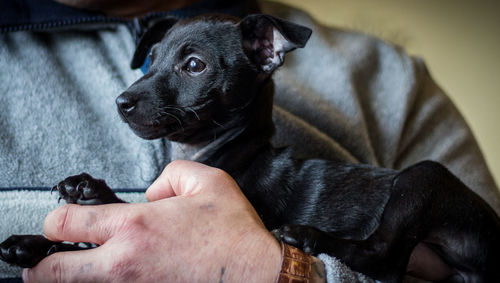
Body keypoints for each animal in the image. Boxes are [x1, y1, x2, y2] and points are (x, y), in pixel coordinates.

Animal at [0, 14, 500, 282]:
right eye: (151, 58)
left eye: (194, 66)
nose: (121, 102)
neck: (209, 154)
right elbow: (100, 230)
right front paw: (38, 239)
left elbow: (123, 218)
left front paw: (84, 200)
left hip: (424, 177)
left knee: (385, 257)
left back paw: (309, 237)